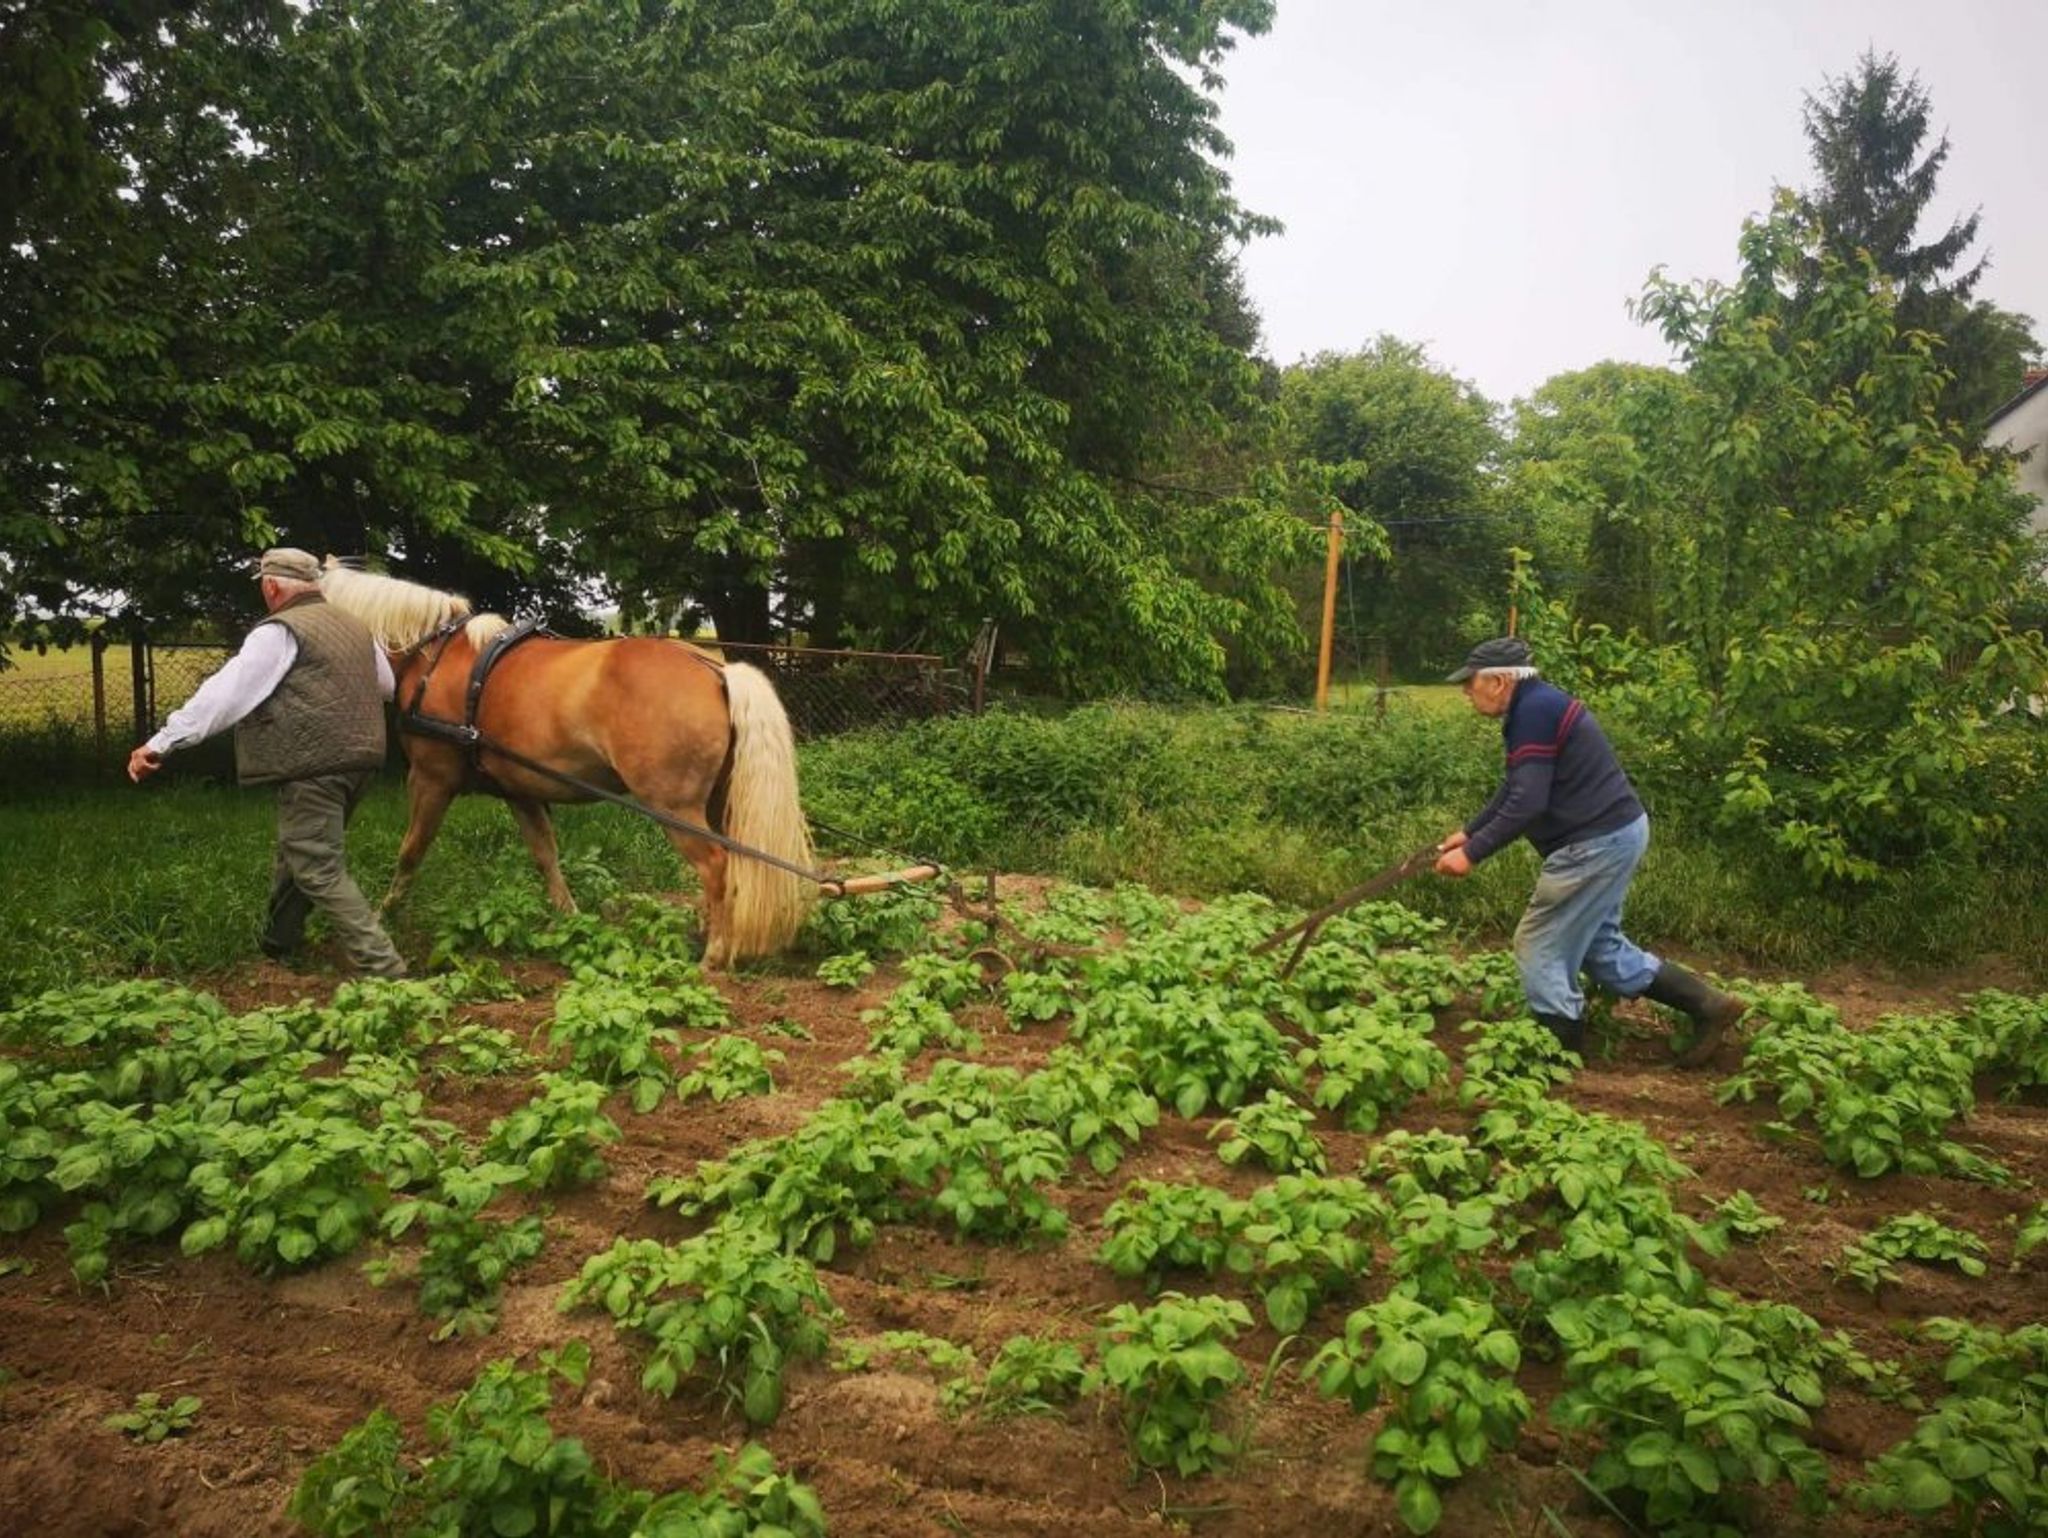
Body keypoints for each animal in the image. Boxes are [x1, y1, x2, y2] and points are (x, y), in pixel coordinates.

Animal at [315, 561, 811, 966]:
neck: (433, 655)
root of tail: (717, 671)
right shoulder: (519, 789)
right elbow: (545, 855)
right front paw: (572, 922)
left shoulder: (431, 779)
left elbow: (411, 852)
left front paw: (385, 915)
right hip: (715, 803)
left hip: (674, 807)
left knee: (716, 866)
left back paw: (714, 955)